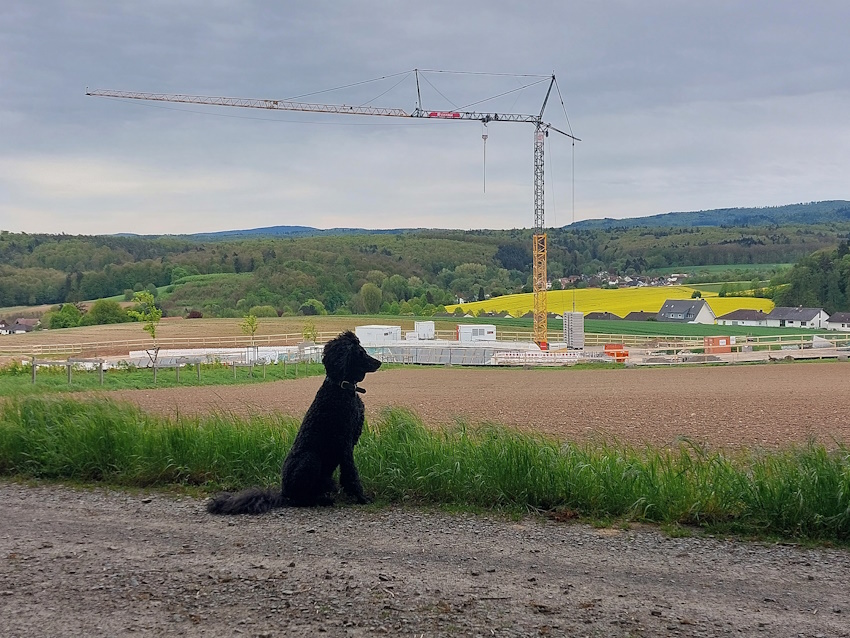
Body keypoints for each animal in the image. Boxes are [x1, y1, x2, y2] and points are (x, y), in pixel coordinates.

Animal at [205, 330, 380, 516]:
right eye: (360, 353)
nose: (379, 362)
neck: (340, 387)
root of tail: (284, 493)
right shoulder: (344, 443)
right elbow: (351, 474)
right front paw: (361, 498)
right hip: (310, 459)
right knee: (301, 499)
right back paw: (322, 500)